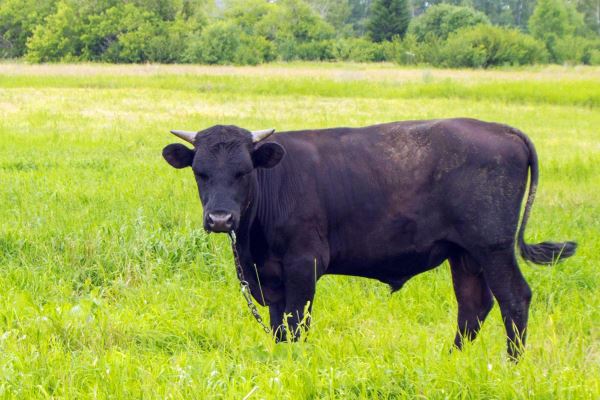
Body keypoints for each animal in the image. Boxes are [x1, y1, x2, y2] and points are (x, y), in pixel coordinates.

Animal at [162, 119, 576, 360]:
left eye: (244, 171)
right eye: (200, 172)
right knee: (473, 305)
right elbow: (280, 326)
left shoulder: (303, 264)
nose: (220, 218)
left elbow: (297, 321)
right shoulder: (270, 276)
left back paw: (512, 363)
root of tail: (501, 129)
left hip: (493, 247)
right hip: (464, 254)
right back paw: (452, 359)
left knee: (514, 298)